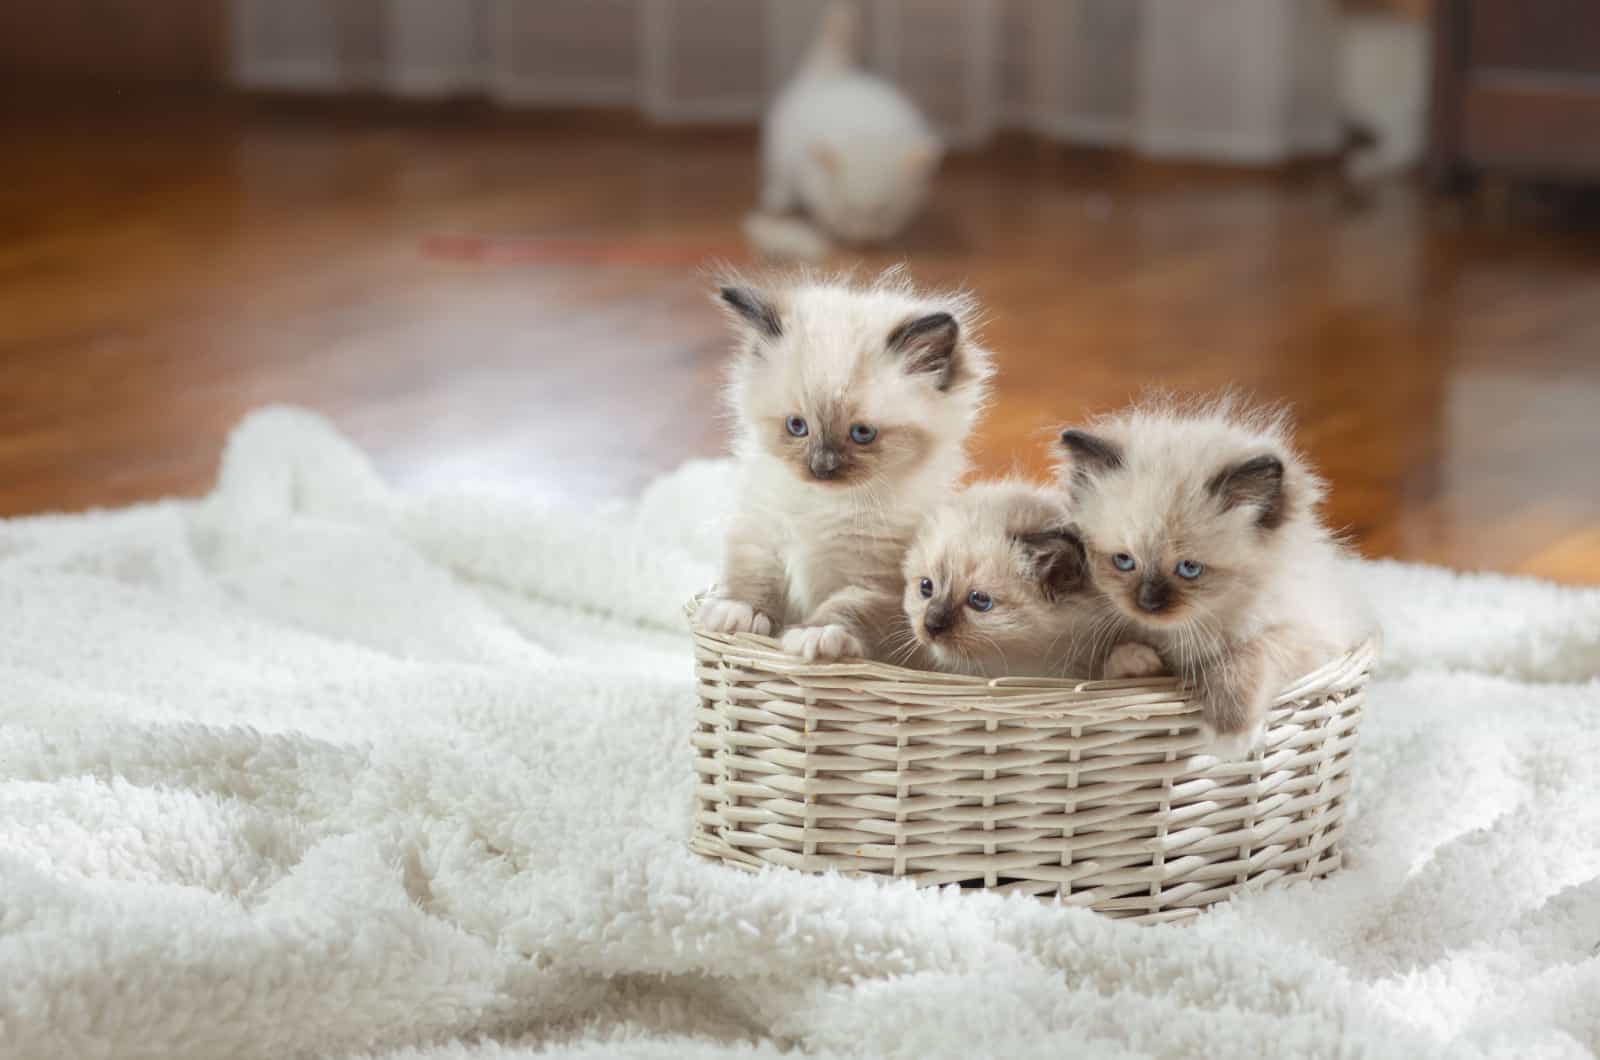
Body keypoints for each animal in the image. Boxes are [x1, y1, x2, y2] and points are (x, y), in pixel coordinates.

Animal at [697, 270, 992, 659]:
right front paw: (737, 612)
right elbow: (751, 576)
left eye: (862, 433)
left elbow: (845, 607)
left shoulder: (876, 581)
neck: (822, 504)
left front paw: (815, 636)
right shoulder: (762, 534)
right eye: (797, 426)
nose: (821, 468)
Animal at [745, 3, 940, 260]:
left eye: (884, 211)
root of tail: (830, 73)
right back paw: (777, 199)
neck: (868, 132)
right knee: (779, 177)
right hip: (779, 152)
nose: (865, 242)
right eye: (848, 210)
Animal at [1049, 398, 1376, 755]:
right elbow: (1118, 664)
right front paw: (1139, 662)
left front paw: (1229, 737)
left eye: (1189, 569)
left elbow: (1247, 656)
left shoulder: (1307, 637)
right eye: (1123, 561)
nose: (1147, 604)